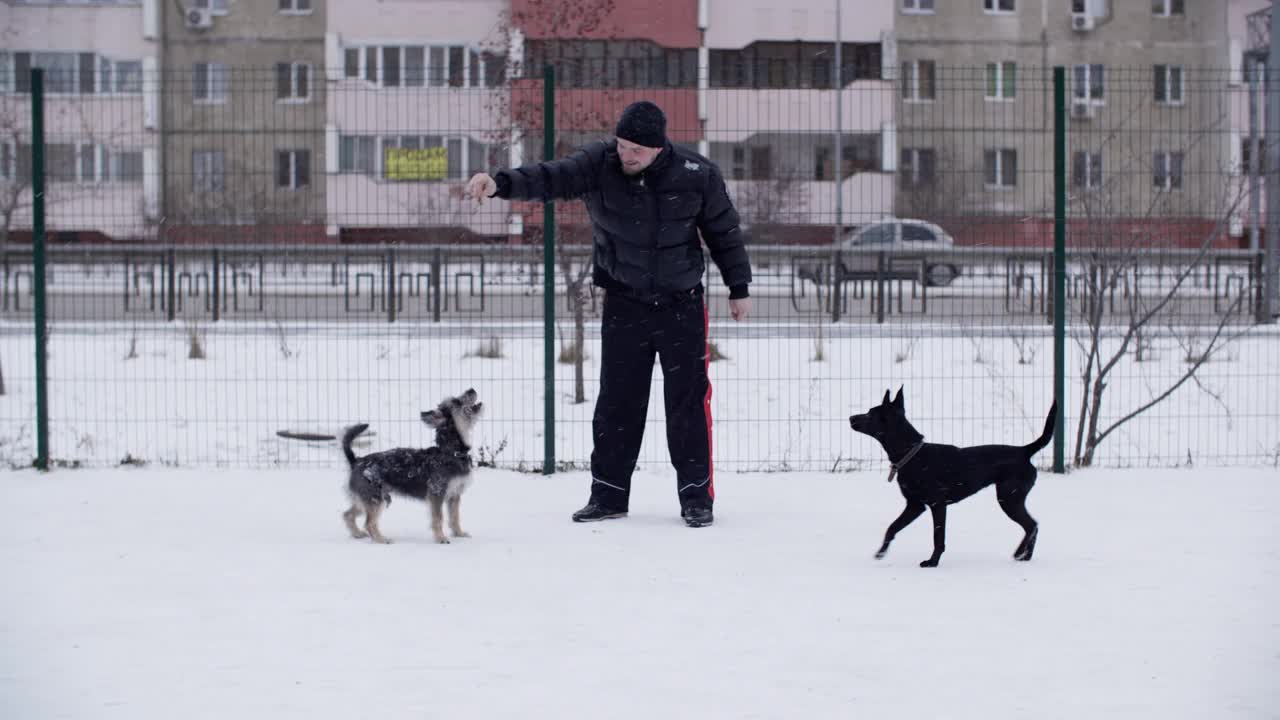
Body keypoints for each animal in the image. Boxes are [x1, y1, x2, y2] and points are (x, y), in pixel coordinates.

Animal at [855, 386, 1054, 566]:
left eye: (870, 414)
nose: (851, 418)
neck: (913, 454)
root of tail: (1024, 451)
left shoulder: (937, 504)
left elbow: (938, 537)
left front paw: (932, 562)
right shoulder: (915, 506)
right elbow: (892, 528)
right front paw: (881, 552)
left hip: (1009, 499)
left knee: (1032, 525)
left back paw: (1022, 554)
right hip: (1011, 499)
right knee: (1032, 526)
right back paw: (1024, 556)